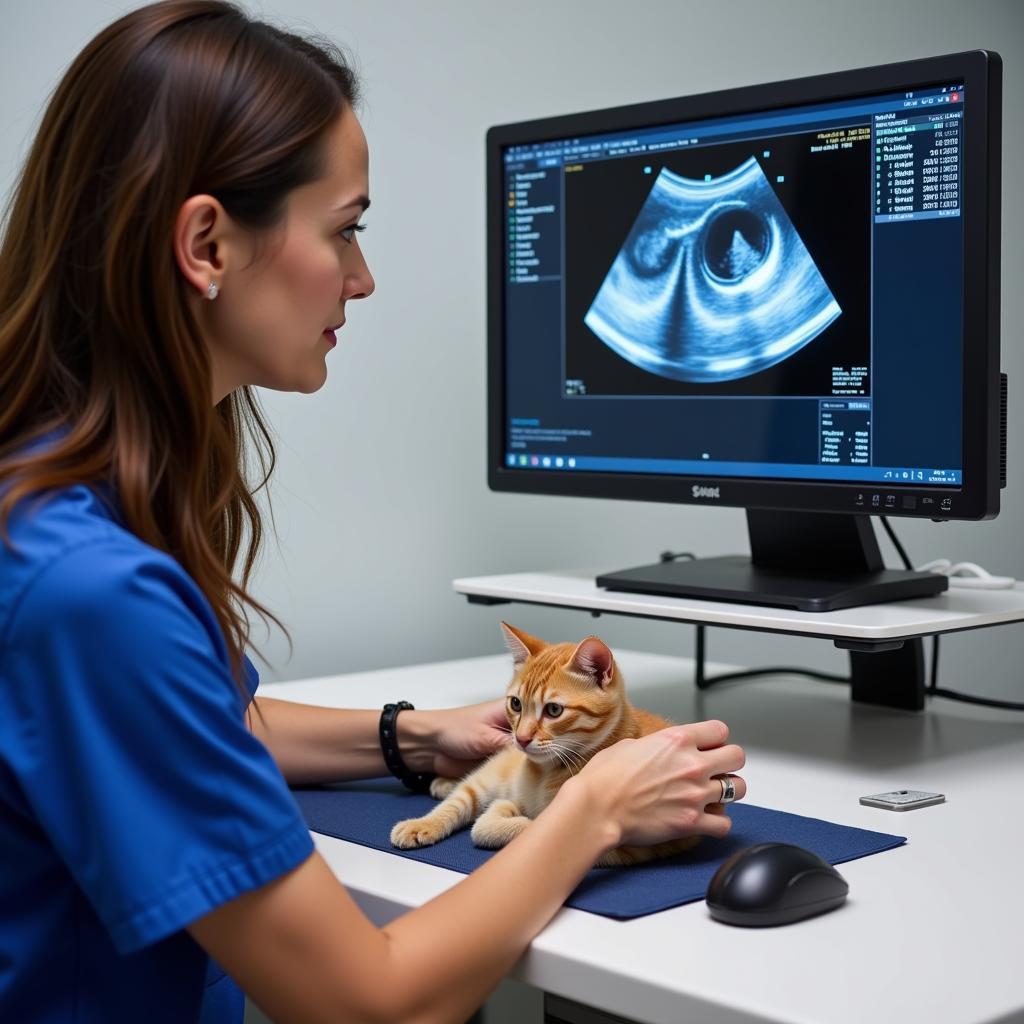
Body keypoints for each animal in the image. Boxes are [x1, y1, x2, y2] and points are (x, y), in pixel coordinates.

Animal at [387, 618, 708, 868]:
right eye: (516, 704)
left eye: (554, 710)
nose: (521, 738)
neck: (544, 773)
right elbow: (479, 812)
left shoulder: (625, 844)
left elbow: (498, 826)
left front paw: (509, 815)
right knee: (460, 797)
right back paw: (427, 814)